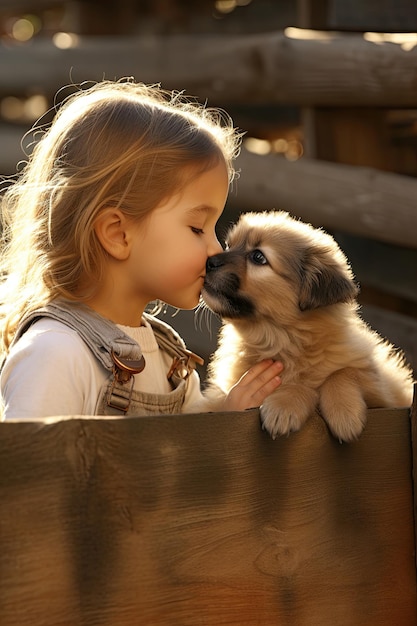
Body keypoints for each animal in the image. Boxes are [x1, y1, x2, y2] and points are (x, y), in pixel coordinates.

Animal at [202, 212, 412, 442]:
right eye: (229, 245)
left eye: (258, 257)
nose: (209, 262)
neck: (283, 339)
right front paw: (285, 404)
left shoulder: (386, 395)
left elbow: (344, 373)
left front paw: (343, 413)